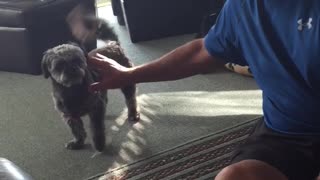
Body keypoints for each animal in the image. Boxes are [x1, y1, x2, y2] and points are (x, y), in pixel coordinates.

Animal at [41, 9, 139, 152]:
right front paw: (78, 142)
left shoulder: (95, 108)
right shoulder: (69, 115)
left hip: (125, 81)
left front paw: (99, 144)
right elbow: (77, 130)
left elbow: (97, 129)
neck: (73, 90)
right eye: (59, 65)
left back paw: (132, 114)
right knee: (106, 99)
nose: (72, 69)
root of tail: (114, 44)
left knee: (131, 99)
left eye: (77, 60)